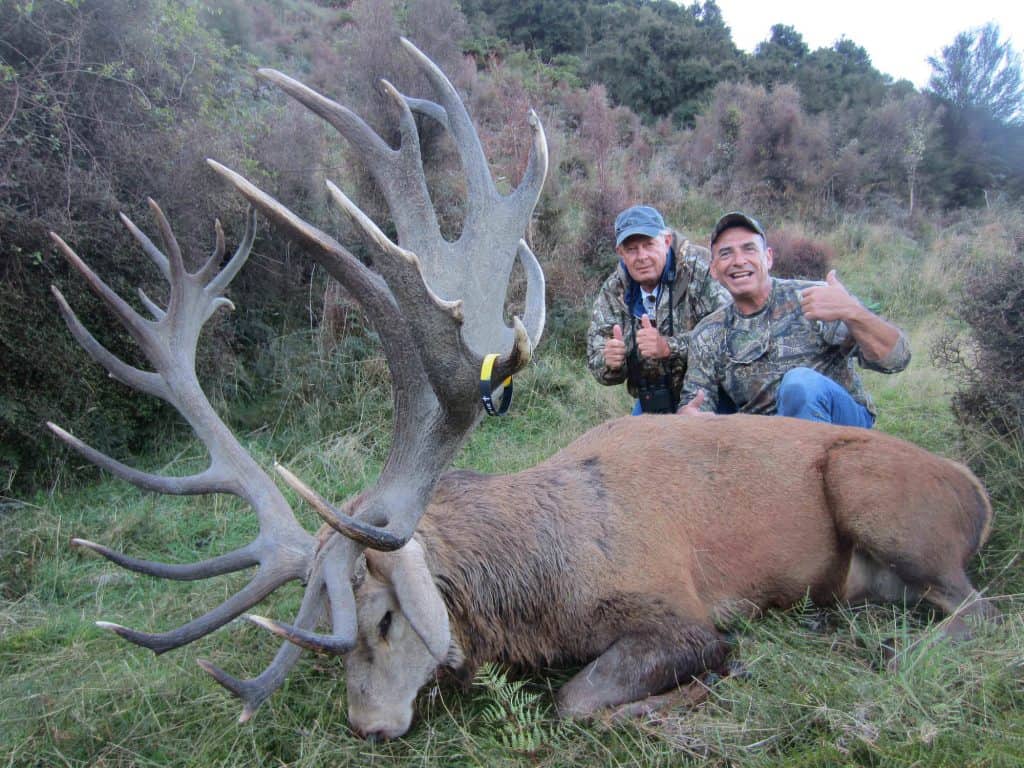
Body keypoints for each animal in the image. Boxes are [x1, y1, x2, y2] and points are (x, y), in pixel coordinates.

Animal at [48, 40, 996, 741]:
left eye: (382, 619)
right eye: (327, 641)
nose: (368, 726)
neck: (544, 582)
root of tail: (979, 493)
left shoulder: (677, 605)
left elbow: (586, 696)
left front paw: (701, 688)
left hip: (877, 495)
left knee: (976, 608)